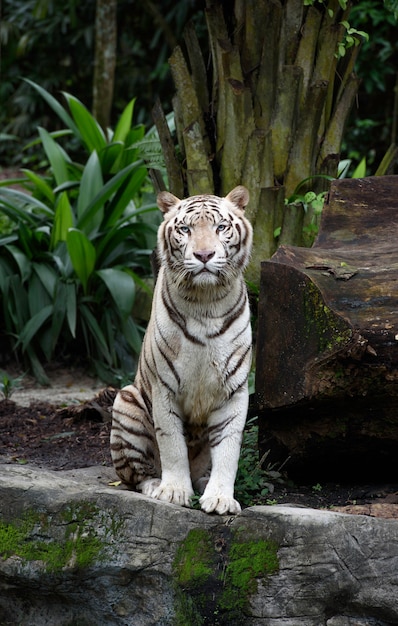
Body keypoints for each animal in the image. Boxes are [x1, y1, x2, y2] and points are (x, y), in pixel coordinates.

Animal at [109, 184, 252, 512]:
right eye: (185, 229)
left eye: (220, 227)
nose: (204, 255)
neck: (206, 301)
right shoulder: (164, 387)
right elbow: (172, 443)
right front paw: (174, 491)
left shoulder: (234, 390)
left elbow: (229, 449)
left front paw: (221, 498)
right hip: (126, 400)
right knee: (135, 475)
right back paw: (155, 485)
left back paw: (203, 483)